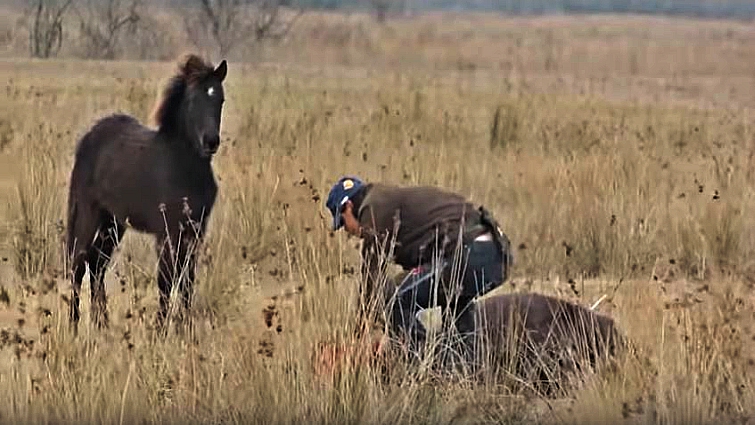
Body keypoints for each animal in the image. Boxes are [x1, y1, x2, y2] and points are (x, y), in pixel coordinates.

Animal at [65, 53, 227, 332]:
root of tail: (89, 136)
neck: (184, 167)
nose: (211, 142)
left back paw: (102, 325)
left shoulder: (195, 231)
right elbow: (166, 280)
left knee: (97, 266)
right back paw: (73, 326)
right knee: (79, 263)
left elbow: (187, 280)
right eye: (193, 100)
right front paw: (160, 330)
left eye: (220, 99)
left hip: (113, 223)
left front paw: (186, 329)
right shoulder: (167, 232)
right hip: (90, 214)